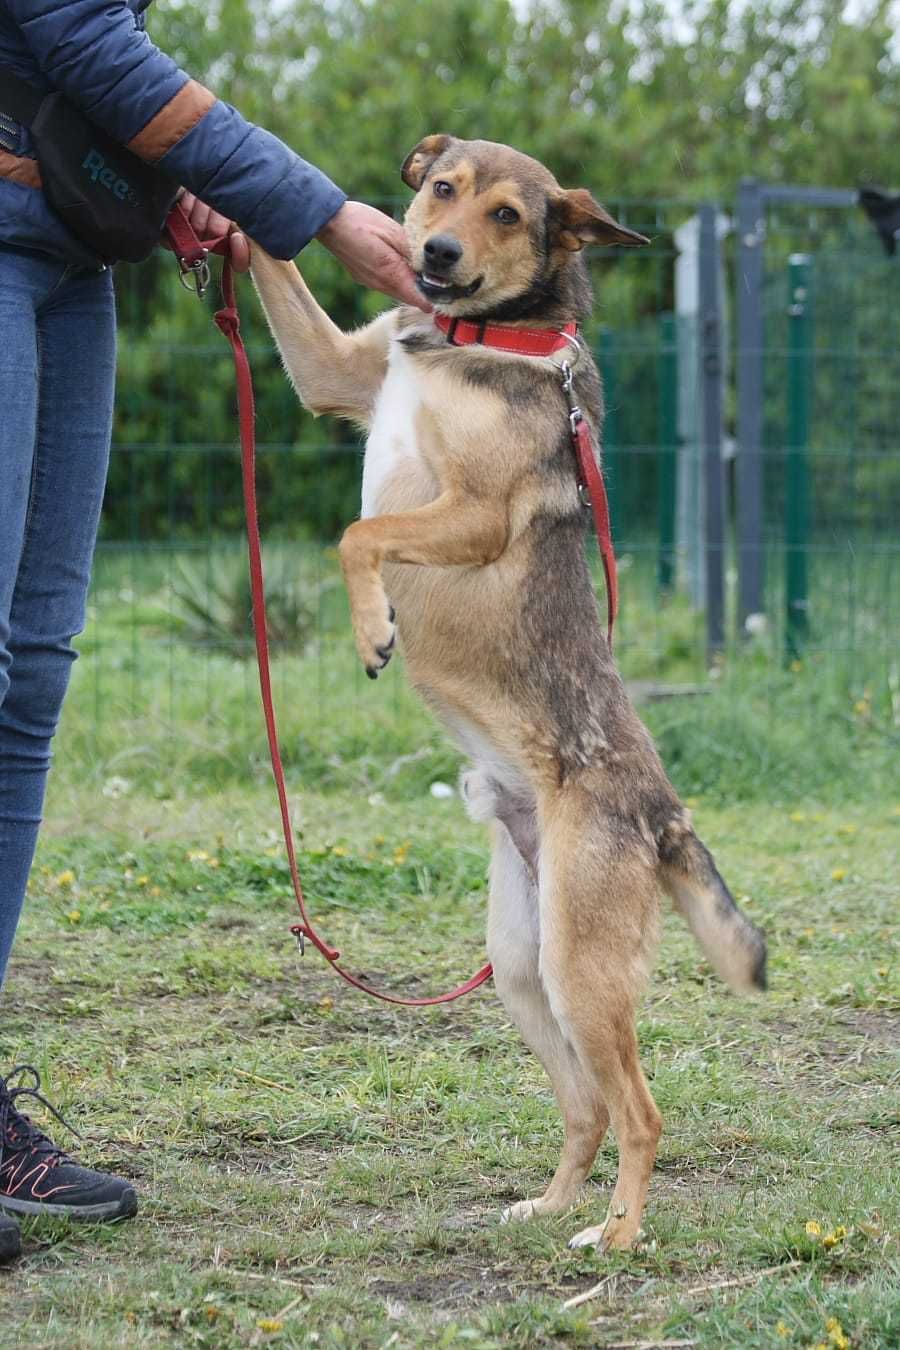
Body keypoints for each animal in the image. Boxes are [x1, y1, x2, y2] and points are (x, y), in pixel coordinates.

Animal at [248, 137, 766, 1252]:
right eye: (443, 190)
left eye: (509, 216)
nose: (435, 255)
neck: (475, 338)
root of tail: (663, 815)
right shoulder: (336, 371)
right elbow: (282, 279)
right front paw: (221, 218)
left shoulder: (475, 510)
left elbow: (357, 534)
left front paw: (373, 628)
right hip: (524, 968)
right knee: (587, 1108)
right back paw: (553, 1204)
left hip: (580, 968)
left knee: (641, 1111)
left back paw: (616, 1235)